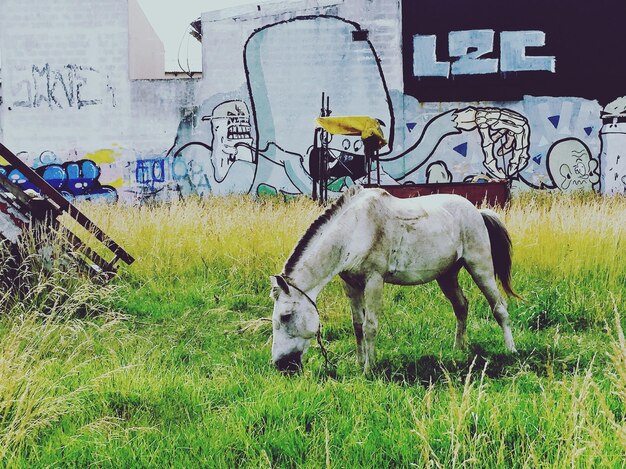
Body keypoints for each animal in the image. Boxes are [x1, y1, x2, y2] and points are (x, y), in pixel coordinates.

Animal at [268, 185, 516, 372]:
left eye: (286, 316)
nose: (281, 365)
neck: (353, 231)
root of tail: (477, 211)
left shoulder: (374, 281)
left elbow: (370, 326)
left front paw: (369, 369)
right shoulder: (351, 285)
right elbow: (357, 325)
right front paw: (360, 362)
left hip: (480, 267)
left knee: (499, 308)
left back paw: (511, 350)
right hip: (447, 276)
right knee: (461, 306)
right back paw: (458, 349)